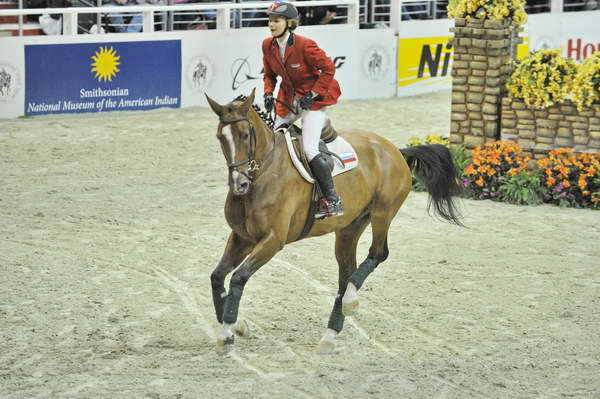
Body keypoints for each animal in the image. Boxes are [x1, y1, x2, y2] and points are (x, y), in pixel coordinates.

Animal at [204, 89, 462, 354]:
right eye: (220, 137)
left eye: (245, 135)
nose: (239, 184)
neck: (264, 173)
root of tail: (394, 150)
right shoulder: (242, 237)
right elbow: (217, 277)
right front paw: (235, 327)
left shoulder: (272, 241)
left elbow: (238, 278)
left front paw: (227, 333)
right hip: (349, 229)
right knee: (346, 275)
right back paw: (330, 334)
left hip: (383, 212)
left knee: (378, 253)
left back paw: (350, 301)